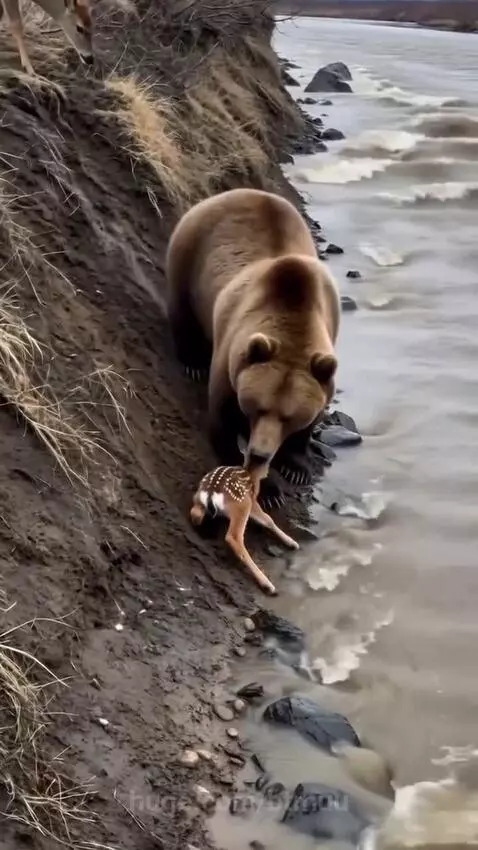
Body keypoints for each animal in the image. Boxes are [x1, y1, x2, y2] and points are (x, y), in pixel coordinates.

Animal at [166, 187, 340, 507]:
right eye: (259, 407)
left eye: (288, 417)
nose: (261, 453)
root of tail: (237, 191)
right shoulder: (230, 364)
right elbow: (222, 424)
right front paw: (268, 489)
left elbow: (310, 423)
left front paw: (296, 466)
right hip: (189, 250)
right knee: (181, 307)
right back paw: (192, 361)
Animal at [190, 462, 300, 596]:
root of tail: (211, 493)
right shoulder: (252, 501)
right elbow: (268, 520)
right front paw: (292, 542)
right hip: (242, 505)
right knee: (234, 537)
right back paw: (267, 584)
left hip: (198, 500)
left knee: (195, 514)